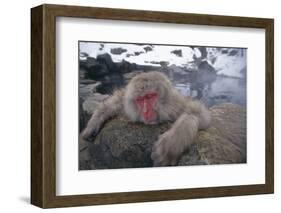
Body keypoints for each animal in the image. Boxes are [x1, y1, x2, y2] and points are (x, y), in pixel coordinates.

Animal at [82, 71, 211, 166]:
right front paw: (94, 122)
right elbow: (119, 98)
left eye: (149, 97)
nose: (145, 111)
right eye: (140, 99)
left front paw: (171, 144)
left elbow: (197, 113)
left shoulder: (177, 105)